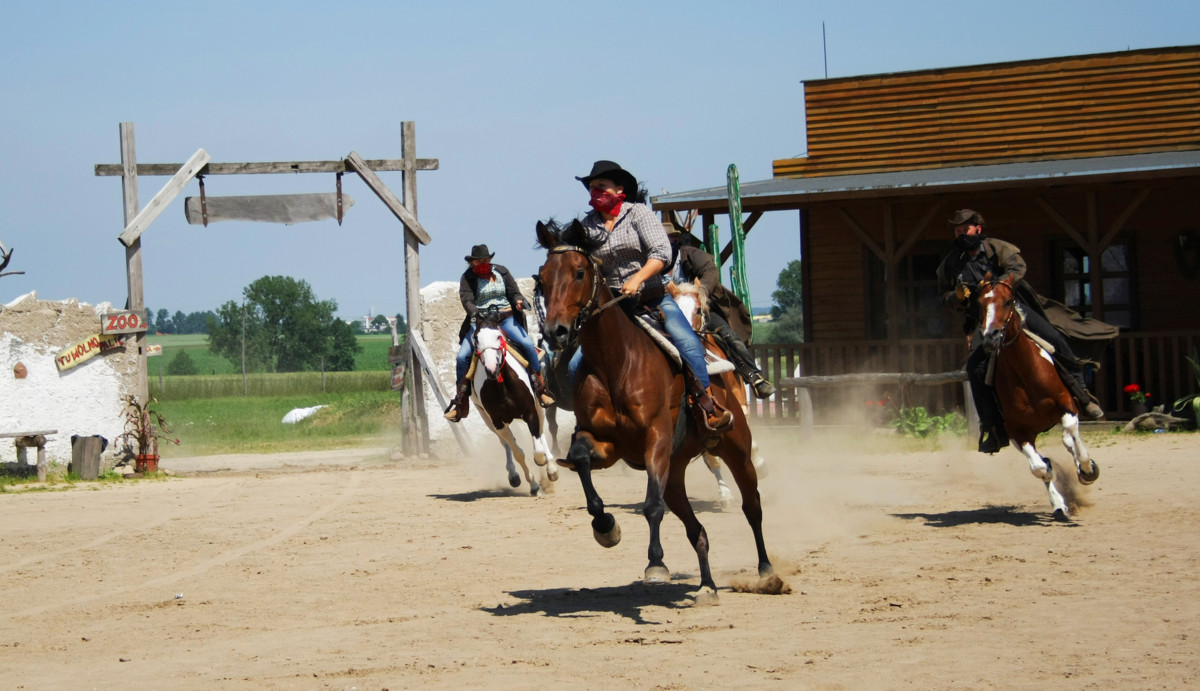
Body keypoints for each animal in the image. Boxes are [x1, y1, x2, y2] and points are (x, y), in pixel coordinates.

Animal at [470, 307, 559, 496]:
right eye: (476, 339)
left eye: (498, 336)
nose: (491, 369)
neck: (502, 386)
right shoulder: (497, 421)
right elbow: (517, 452)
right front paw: (534, 485)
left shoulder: (530, 412)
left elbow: (538, 449)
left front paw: (544, 465)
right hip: (488, 419)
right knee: (505, 443)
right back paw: (514, 475)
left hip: (540, 406)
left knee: (542, 432)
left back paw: (551, 469)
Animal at [535, 218, 777, 602]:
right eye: (542, 277)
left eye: (579, 272)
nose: (555, 332)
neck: (616, 362)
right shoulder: (605, 444)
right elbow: (584, 463)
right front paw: (606, 528)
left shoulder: (657, 440)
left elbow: (651, 505)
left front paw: (656, 565)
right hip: (675, 474)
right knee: (697, 529)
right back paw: (707, 586)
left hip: (735, 446)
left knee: (751, 506)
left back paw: (767, 572)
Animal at [974, 275, 1099, 518]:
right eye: (980, 304)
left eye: (1008, 301)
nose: (990, 336)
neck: (1025, 372)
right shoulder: (1017, 431)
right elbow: (1040, 467)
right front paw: (1059, 502)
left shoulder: (1066, 403)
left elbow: (1071, 432)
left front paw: (1087, 469)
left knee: (1069, 437)